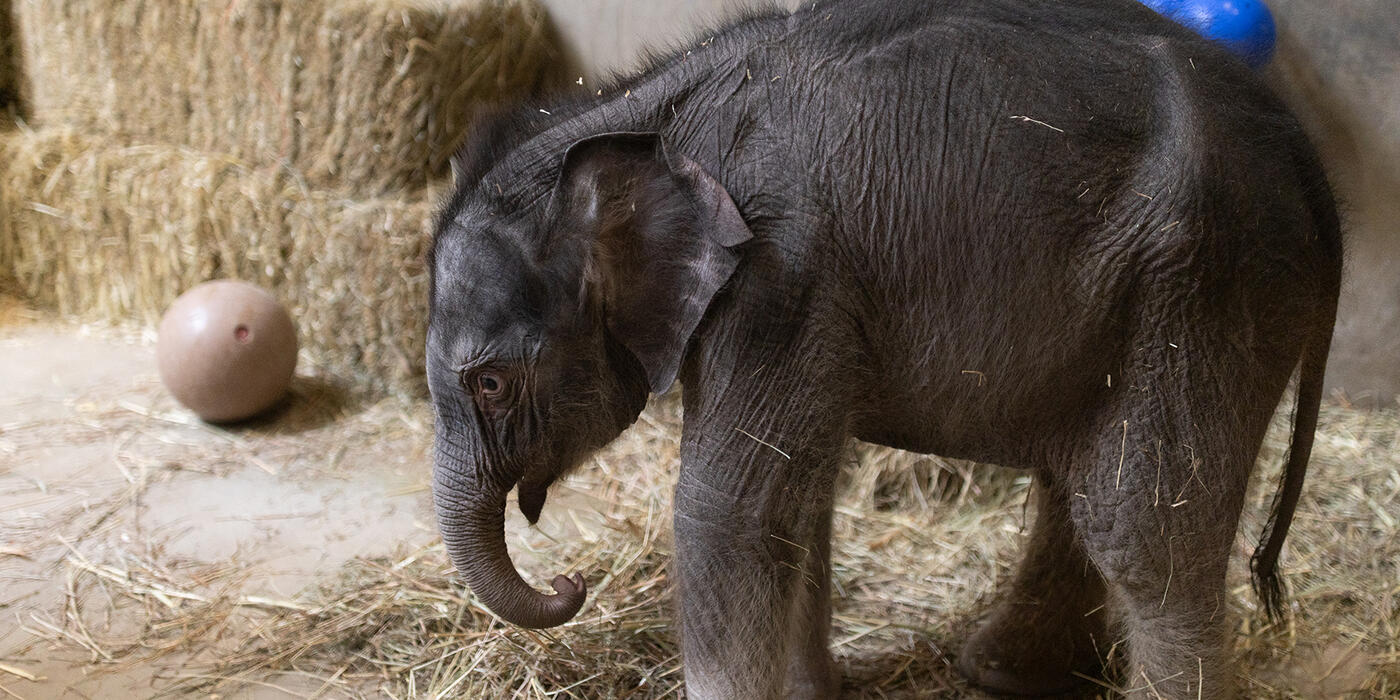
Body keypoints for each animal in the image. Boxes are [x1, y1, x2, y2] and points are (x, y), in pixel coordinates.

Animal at [424, 0, 1342, 697]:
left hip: (1202, 287)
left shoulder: (781, 275)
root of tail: (1307, 158)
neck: (644, 119)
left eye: (492, 384)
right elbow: (798, 500)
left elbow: (729, 509)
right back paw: (1000, 673)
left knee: (1144, 530)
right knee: (1080, 486)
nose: (570, 583)